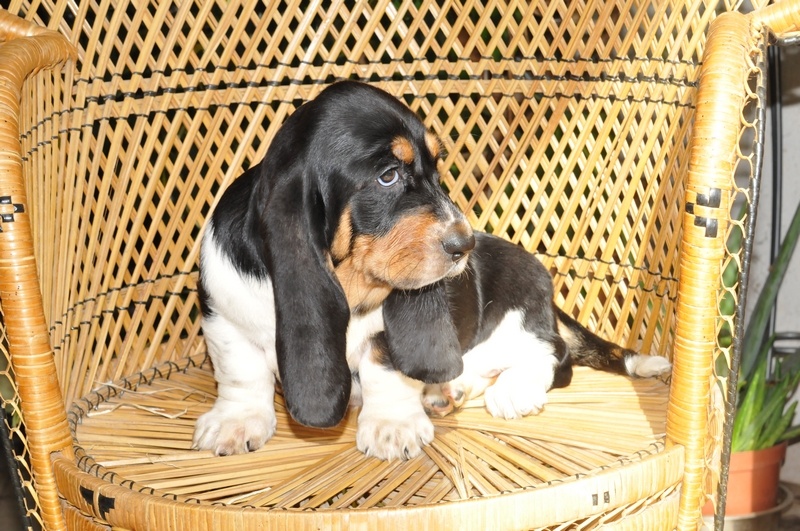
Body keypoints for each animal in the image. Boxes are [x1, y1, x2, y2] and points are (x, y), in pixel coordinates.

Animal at [192, 81, 671, 461]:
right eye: (388, 176)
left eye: (436, 169)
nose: (465, 244)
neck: (350, 287)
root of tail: (548, 295)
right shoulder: (222, 316)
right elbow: (240, 373)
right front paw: (235, 423)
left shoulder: (387, 333)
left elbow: (385, 370)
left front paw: (392, 427)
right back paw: (447, 391)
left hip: (516, 318)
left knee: (555, 354)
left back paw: (511, 390)